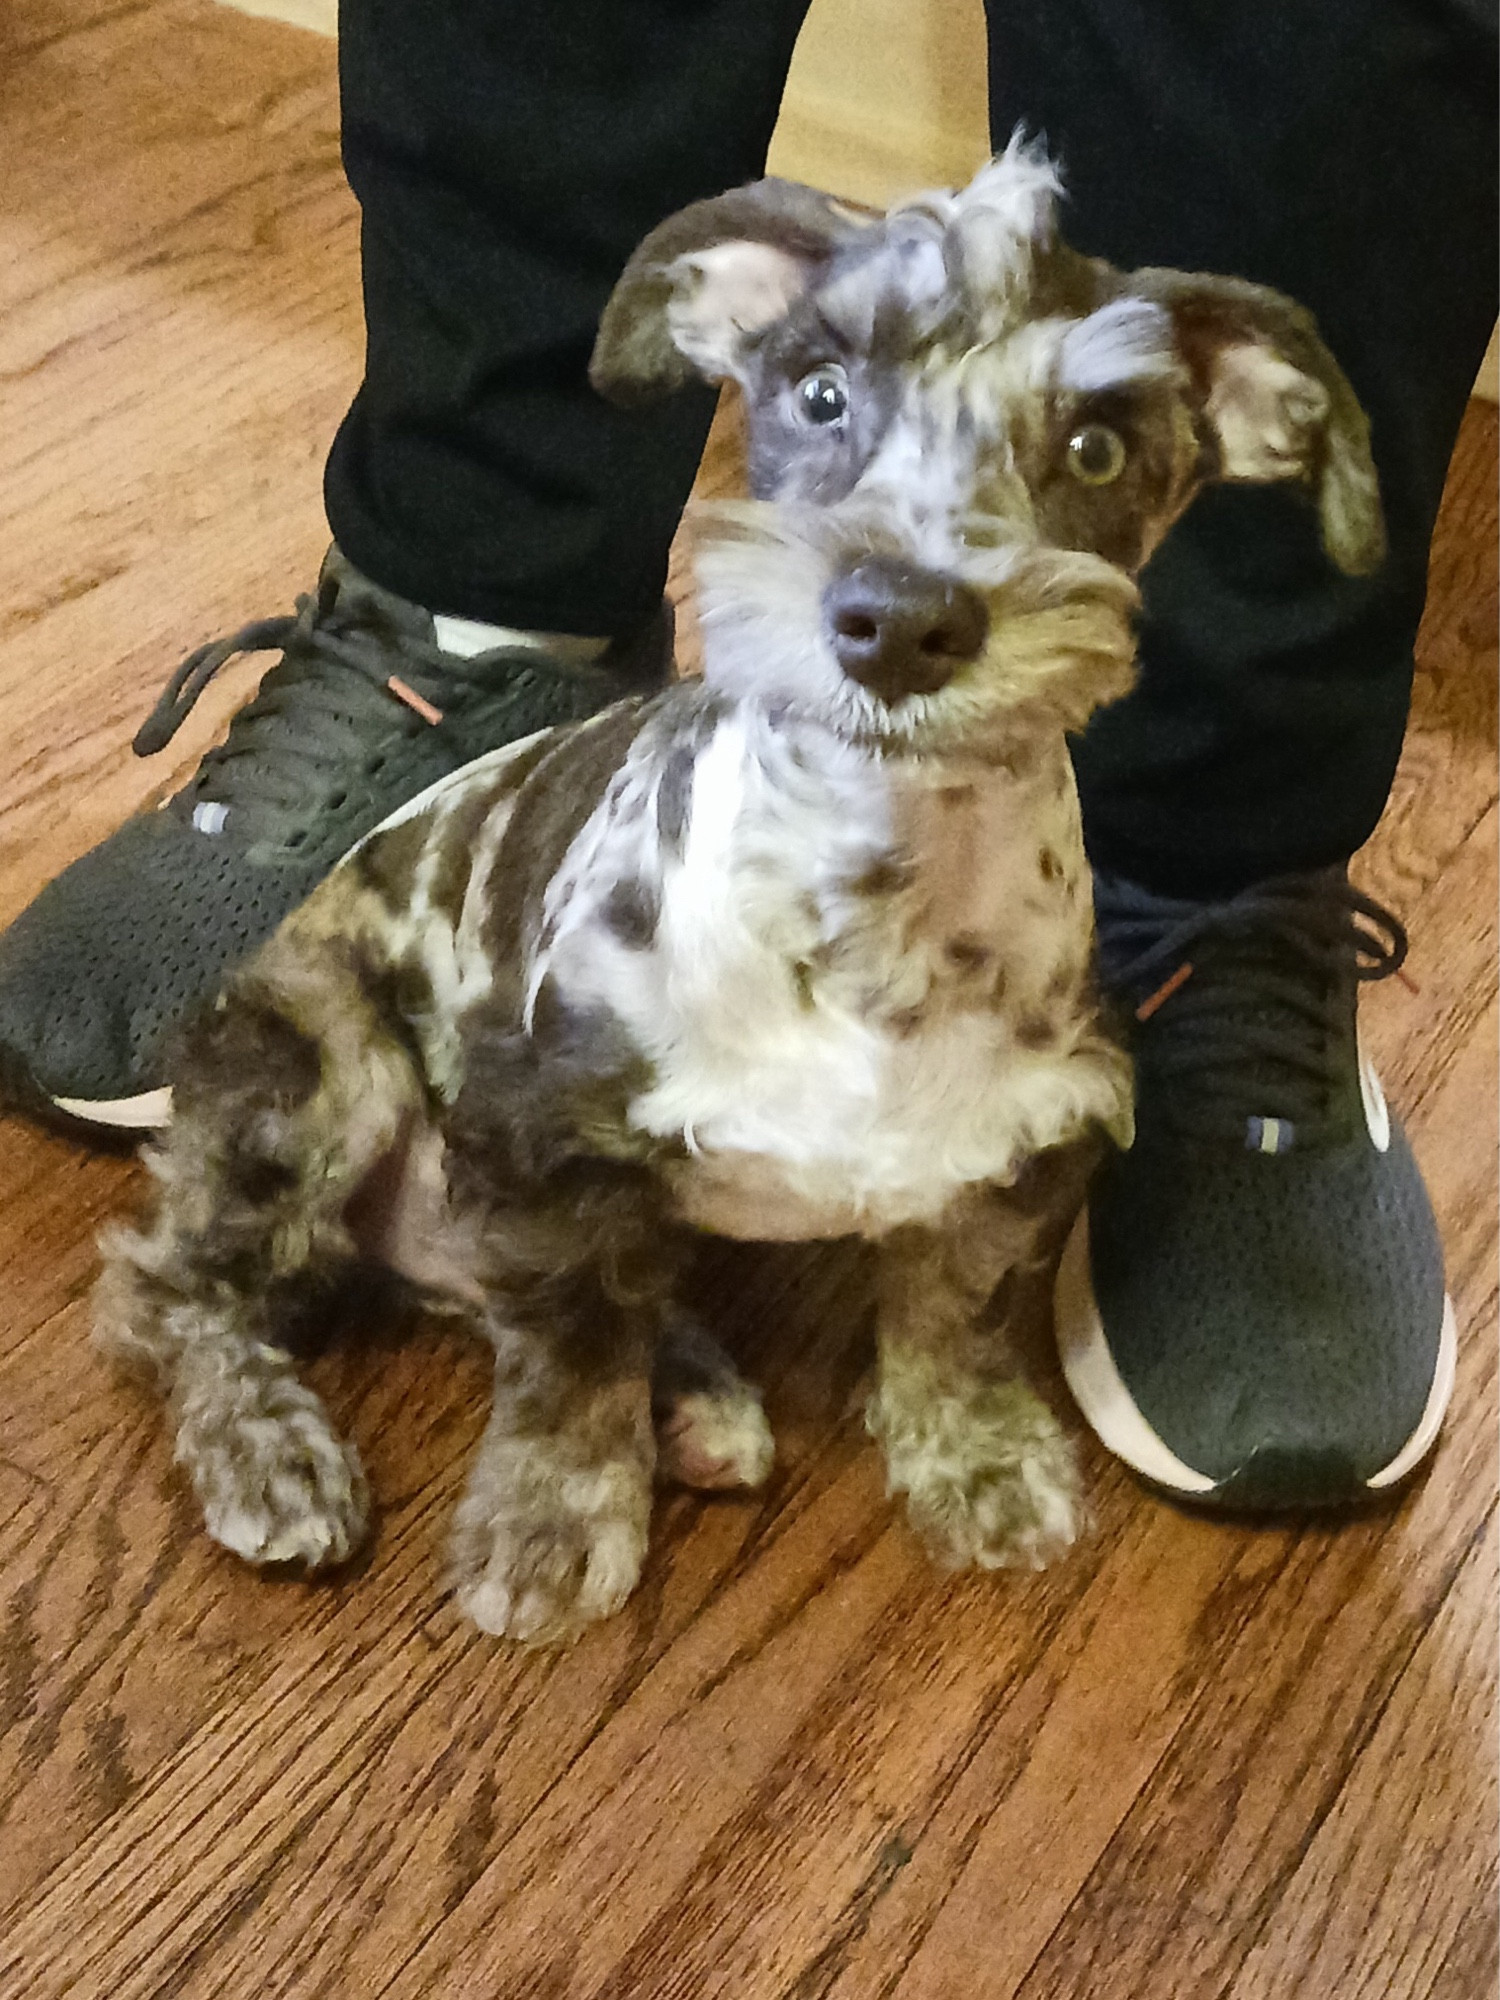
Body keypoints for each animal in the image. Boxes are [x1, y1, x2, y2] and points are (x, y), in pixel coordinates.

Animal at [94, 137, 1384, 1640]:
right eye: (819, 390)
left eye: (1098, 447)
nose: (897, 620)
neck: (874, 906)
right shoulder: (535, 1132)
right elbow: (568, 1357)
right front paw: (552, 1521)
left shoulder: (1017, 1143)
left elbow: (950, 1315)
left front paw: (979, 1463)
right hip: (325, 1072)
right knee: (173, 1291)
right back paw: (273, 1450)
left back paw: (695, 1392)